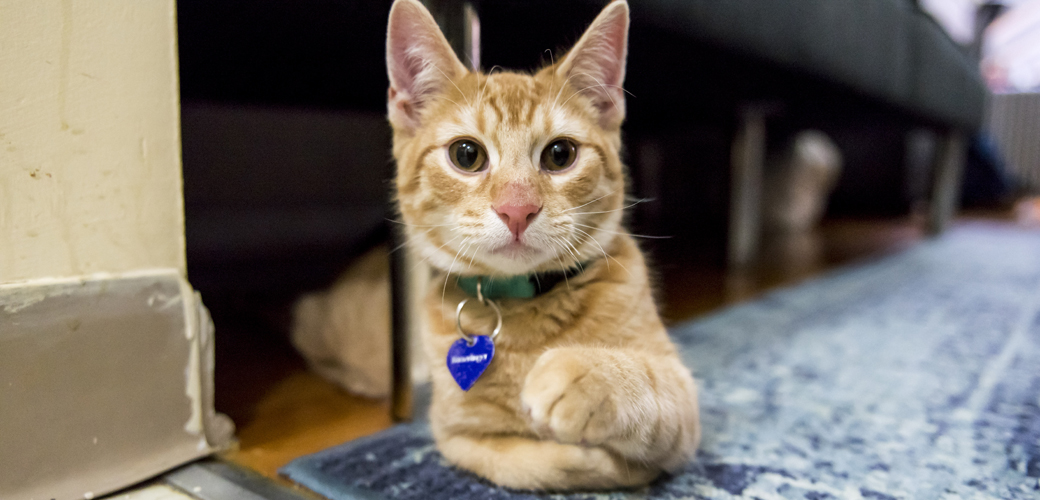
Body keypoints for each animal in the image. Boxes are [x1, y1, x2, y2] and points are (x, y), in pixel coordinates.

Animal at [386, 0, 703, 486]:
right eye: (466, 155)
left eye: (560, 155)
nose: (518, 210)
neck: (522, 313)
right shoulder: (459, 436)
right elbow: (533, 464)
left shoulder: (683, 400)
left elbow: (648, 381)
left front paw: (577, 374)